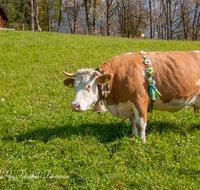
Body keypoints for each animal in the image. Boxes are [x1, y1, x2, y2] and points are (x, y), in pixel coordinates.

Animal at [63, 51, 200, 143]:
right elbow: (133, 122)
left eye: (89, 86)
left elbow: (140, 124)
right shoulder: (128, 104)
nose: (74, 106)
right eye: (74, 86)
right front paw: (134, 137)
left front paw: (143, 141)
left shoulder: (140, 101)